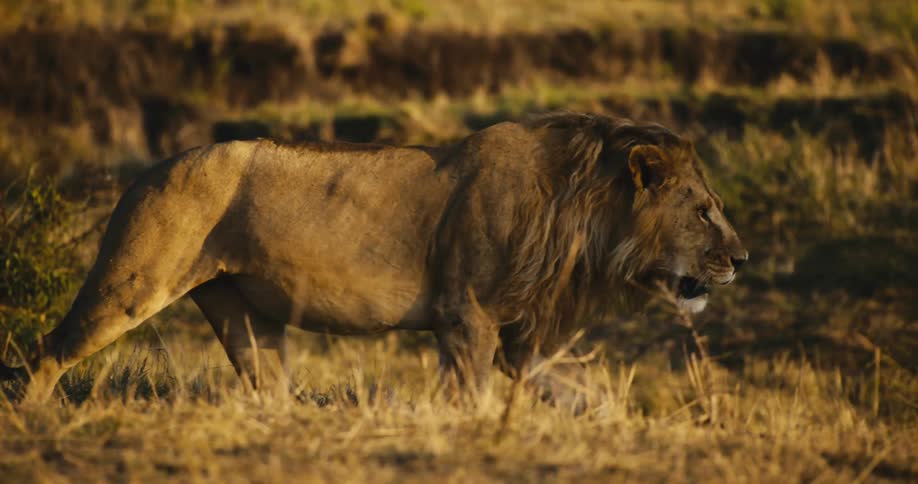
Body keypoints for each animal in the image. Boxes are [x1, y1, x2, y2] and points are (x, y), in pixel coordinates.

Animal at [1, 112, 746, 404]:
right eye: (703, 211)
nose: (740, 258)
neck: (583, 217)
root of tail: (147, 170)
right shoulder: (466, 315)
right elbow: (470, 396)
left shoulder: (520, 337)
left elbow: (576, 391)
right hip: (134, 280)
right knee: (45, 350)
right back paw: (34, 419)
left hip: (242, 312)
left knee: (266, 386)